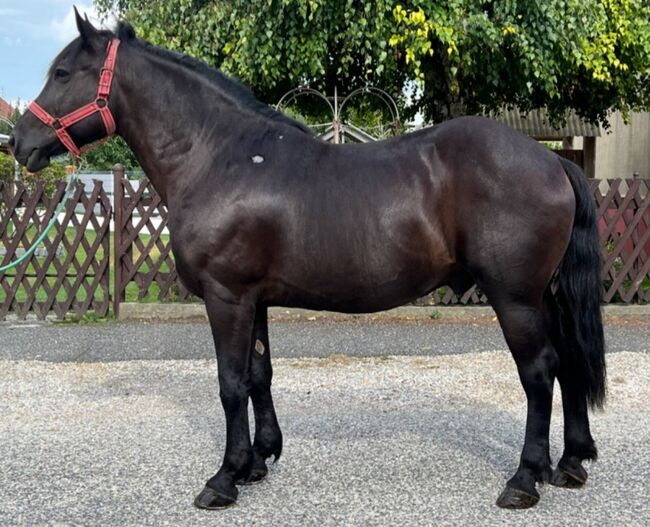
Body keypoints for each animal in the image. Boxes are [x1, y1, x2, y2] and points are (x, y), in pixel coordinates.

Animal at [9, 10, 605, 511]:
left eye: (62, 72)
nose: (18, 142)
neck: (219, 156)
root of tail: (552, 160)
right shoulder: (253, 299)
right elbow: (259, 374)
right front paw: (258, 461)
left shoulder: (226, 296)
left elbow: (230, 383)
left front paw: (223, 478)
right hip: (547, 296)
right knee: (570, 362)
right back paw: (571, 464)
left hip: (516, 298)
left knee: (540, 371)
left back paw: (525, 479)